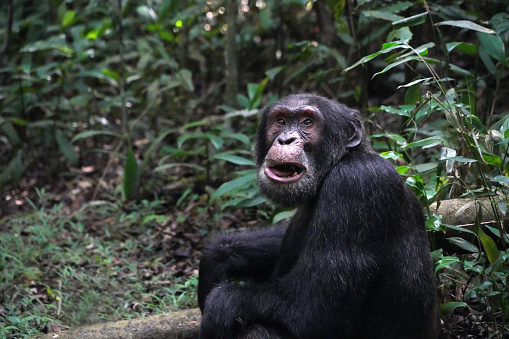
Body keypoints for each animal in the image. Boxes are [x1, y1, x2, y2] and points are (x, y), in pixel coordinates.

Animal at [196, 94, 438, 338]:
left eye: (307, 123)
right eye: (281, 121)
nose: (286, 139)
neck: (336, 164)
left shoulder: (356, 185)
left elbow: (313, 311)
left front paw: (221, 304)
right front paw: (218, 256)